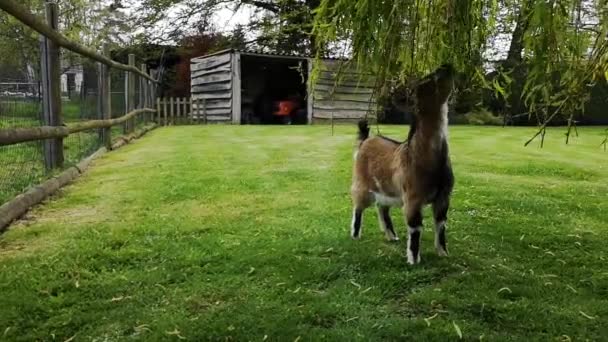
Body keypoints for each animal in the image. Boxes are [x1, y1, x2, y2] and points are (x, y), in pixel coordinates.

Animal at [350, 64, 454, 264]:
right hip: (362, 182)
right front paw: (414, 259)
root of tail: (365, 140)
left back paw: (392, 236)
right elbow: (415, 227)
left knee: (382, 207)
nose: (447, 66)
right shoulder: (413, 197)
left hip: (386, 188)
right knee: (358, 205)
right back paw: (355, 234)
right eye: (427, 79)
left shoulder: (443, 197)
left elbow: (441, 224)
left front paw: (443, 253)